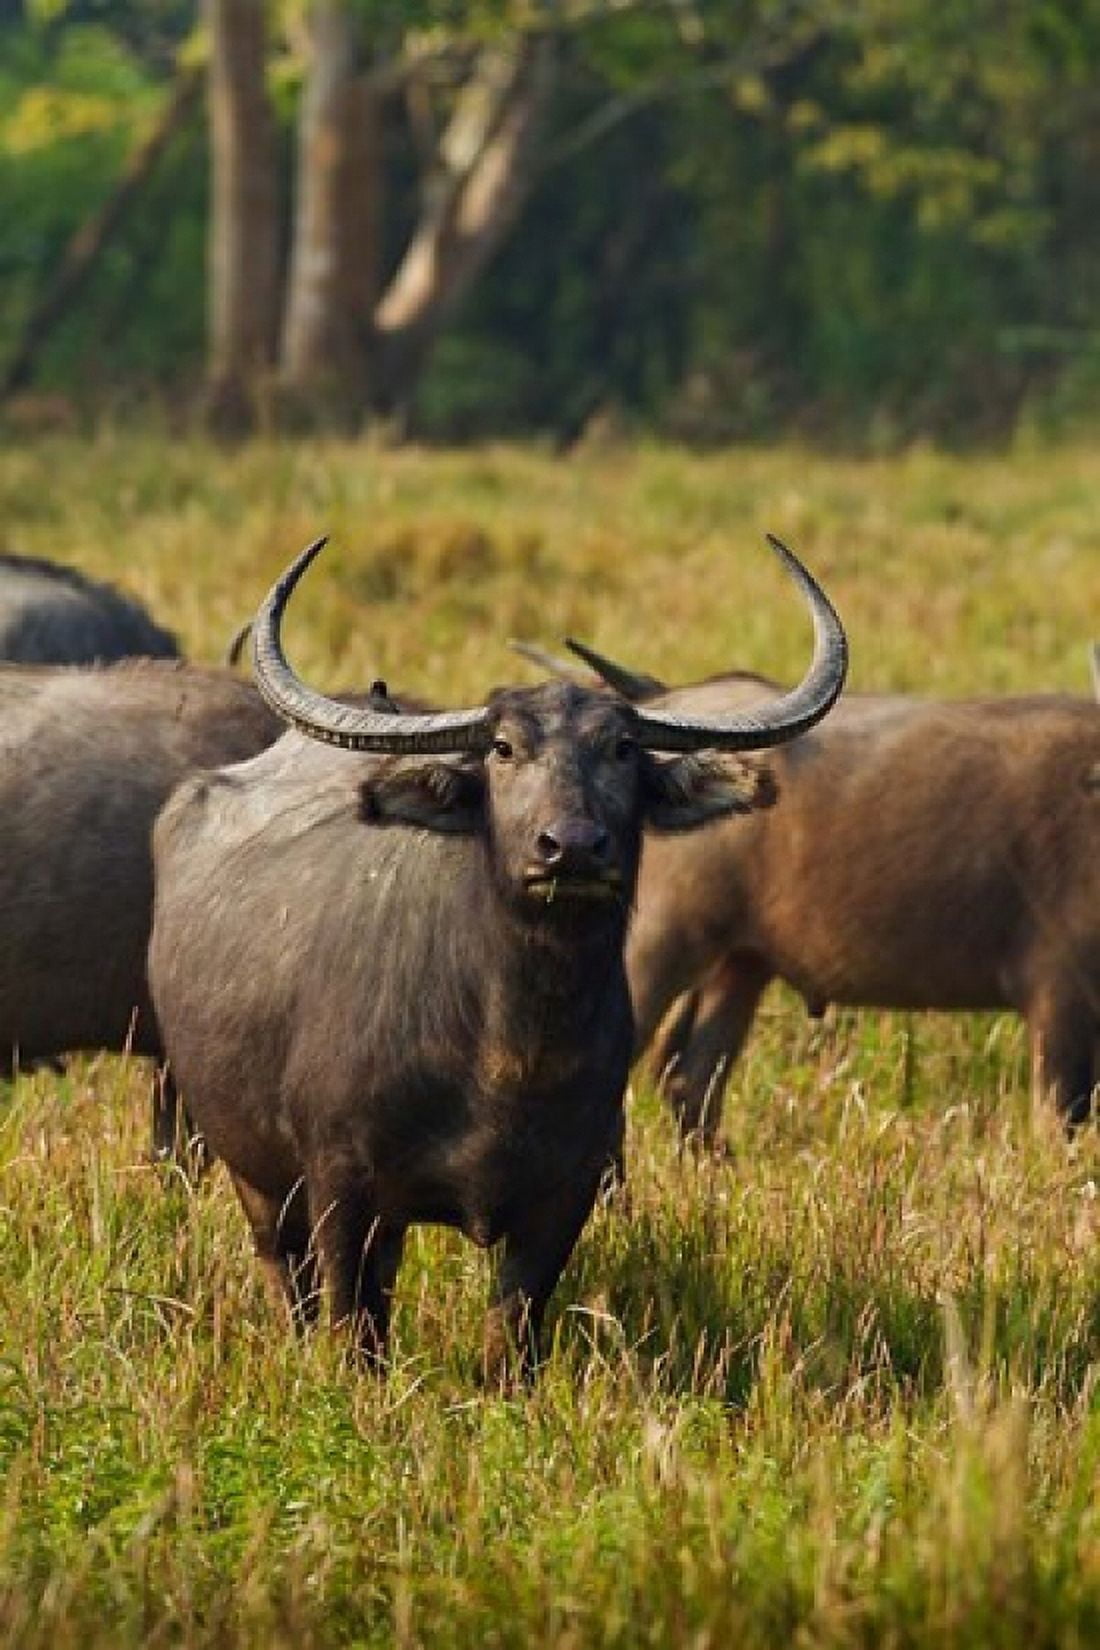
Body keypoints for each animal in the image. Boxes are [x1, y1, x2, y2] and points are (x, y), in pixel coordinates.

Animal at [148, 534, 847, 1380]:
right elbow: (351, 1324)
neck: (510, 1048)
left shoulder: (565, 1192)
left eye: (622, 749)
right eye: (505, 749)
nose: (570, 847)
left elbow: (511, 1329)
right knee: (291, 1275)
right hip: (247, 1162)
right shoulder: (341, 1183)